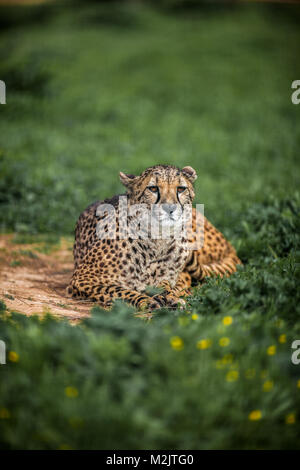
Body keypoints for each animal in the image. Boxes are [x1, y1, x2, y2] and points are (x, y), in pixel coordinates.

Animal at [67, 163, 241, 310]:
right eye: (152, 188)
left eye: (180, 189)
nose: (169, 208)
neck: (157, 239)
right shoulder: (82, 278)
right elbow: (119, 290)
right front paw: (146, 300)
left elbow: (165, 285)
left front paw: (170, 297)